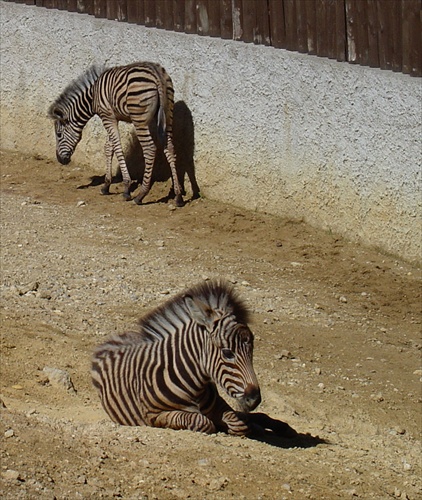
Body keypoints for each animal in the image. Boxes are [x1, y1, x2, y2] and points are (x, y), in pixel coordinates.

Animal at [48, 62, 184, 207]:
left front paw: (126, 188)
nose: (60, 160)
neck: (92, 96)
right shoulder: (113, 117)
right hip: (168, 114)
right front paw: (106, 185)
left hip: (139, 118)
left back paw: (141, 195)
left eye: (59, 134)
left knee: (149, 149)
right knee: (170, 148)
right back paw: (178, 196)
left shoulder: (107, 116)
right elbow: (109, 147)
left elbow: (117, 148)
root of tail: (156, 72)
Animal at [92, 282, 296, 438]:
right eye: (227, 353)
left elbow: (237, 422)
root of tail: (117, 338)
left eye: (252, 351)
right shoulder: (154, 416)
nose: (254, 399)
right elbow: (203, 422)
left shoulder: (219, 405)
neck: (192, 383)